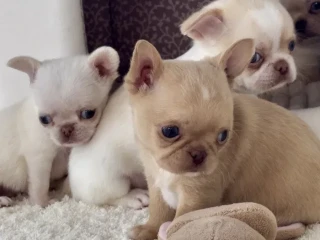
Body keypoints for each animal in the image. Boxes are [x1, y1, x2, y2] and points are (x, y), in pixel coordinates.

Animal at [1, 46, 119, 206]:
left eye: (88, 113)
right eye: (44, 119)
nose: (66, 128)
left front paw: (65, 190)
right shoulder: (39, 159)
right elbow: (40, 185)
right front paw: (41, 204)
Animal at [126, 39, 320, 240]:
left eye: (223, 136)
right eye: (170, 131)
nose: (199, 154)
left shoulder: (197, 195)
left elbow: (183, 218)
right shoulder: (155, 182)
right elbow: (158, 210)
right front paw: (149, 229)